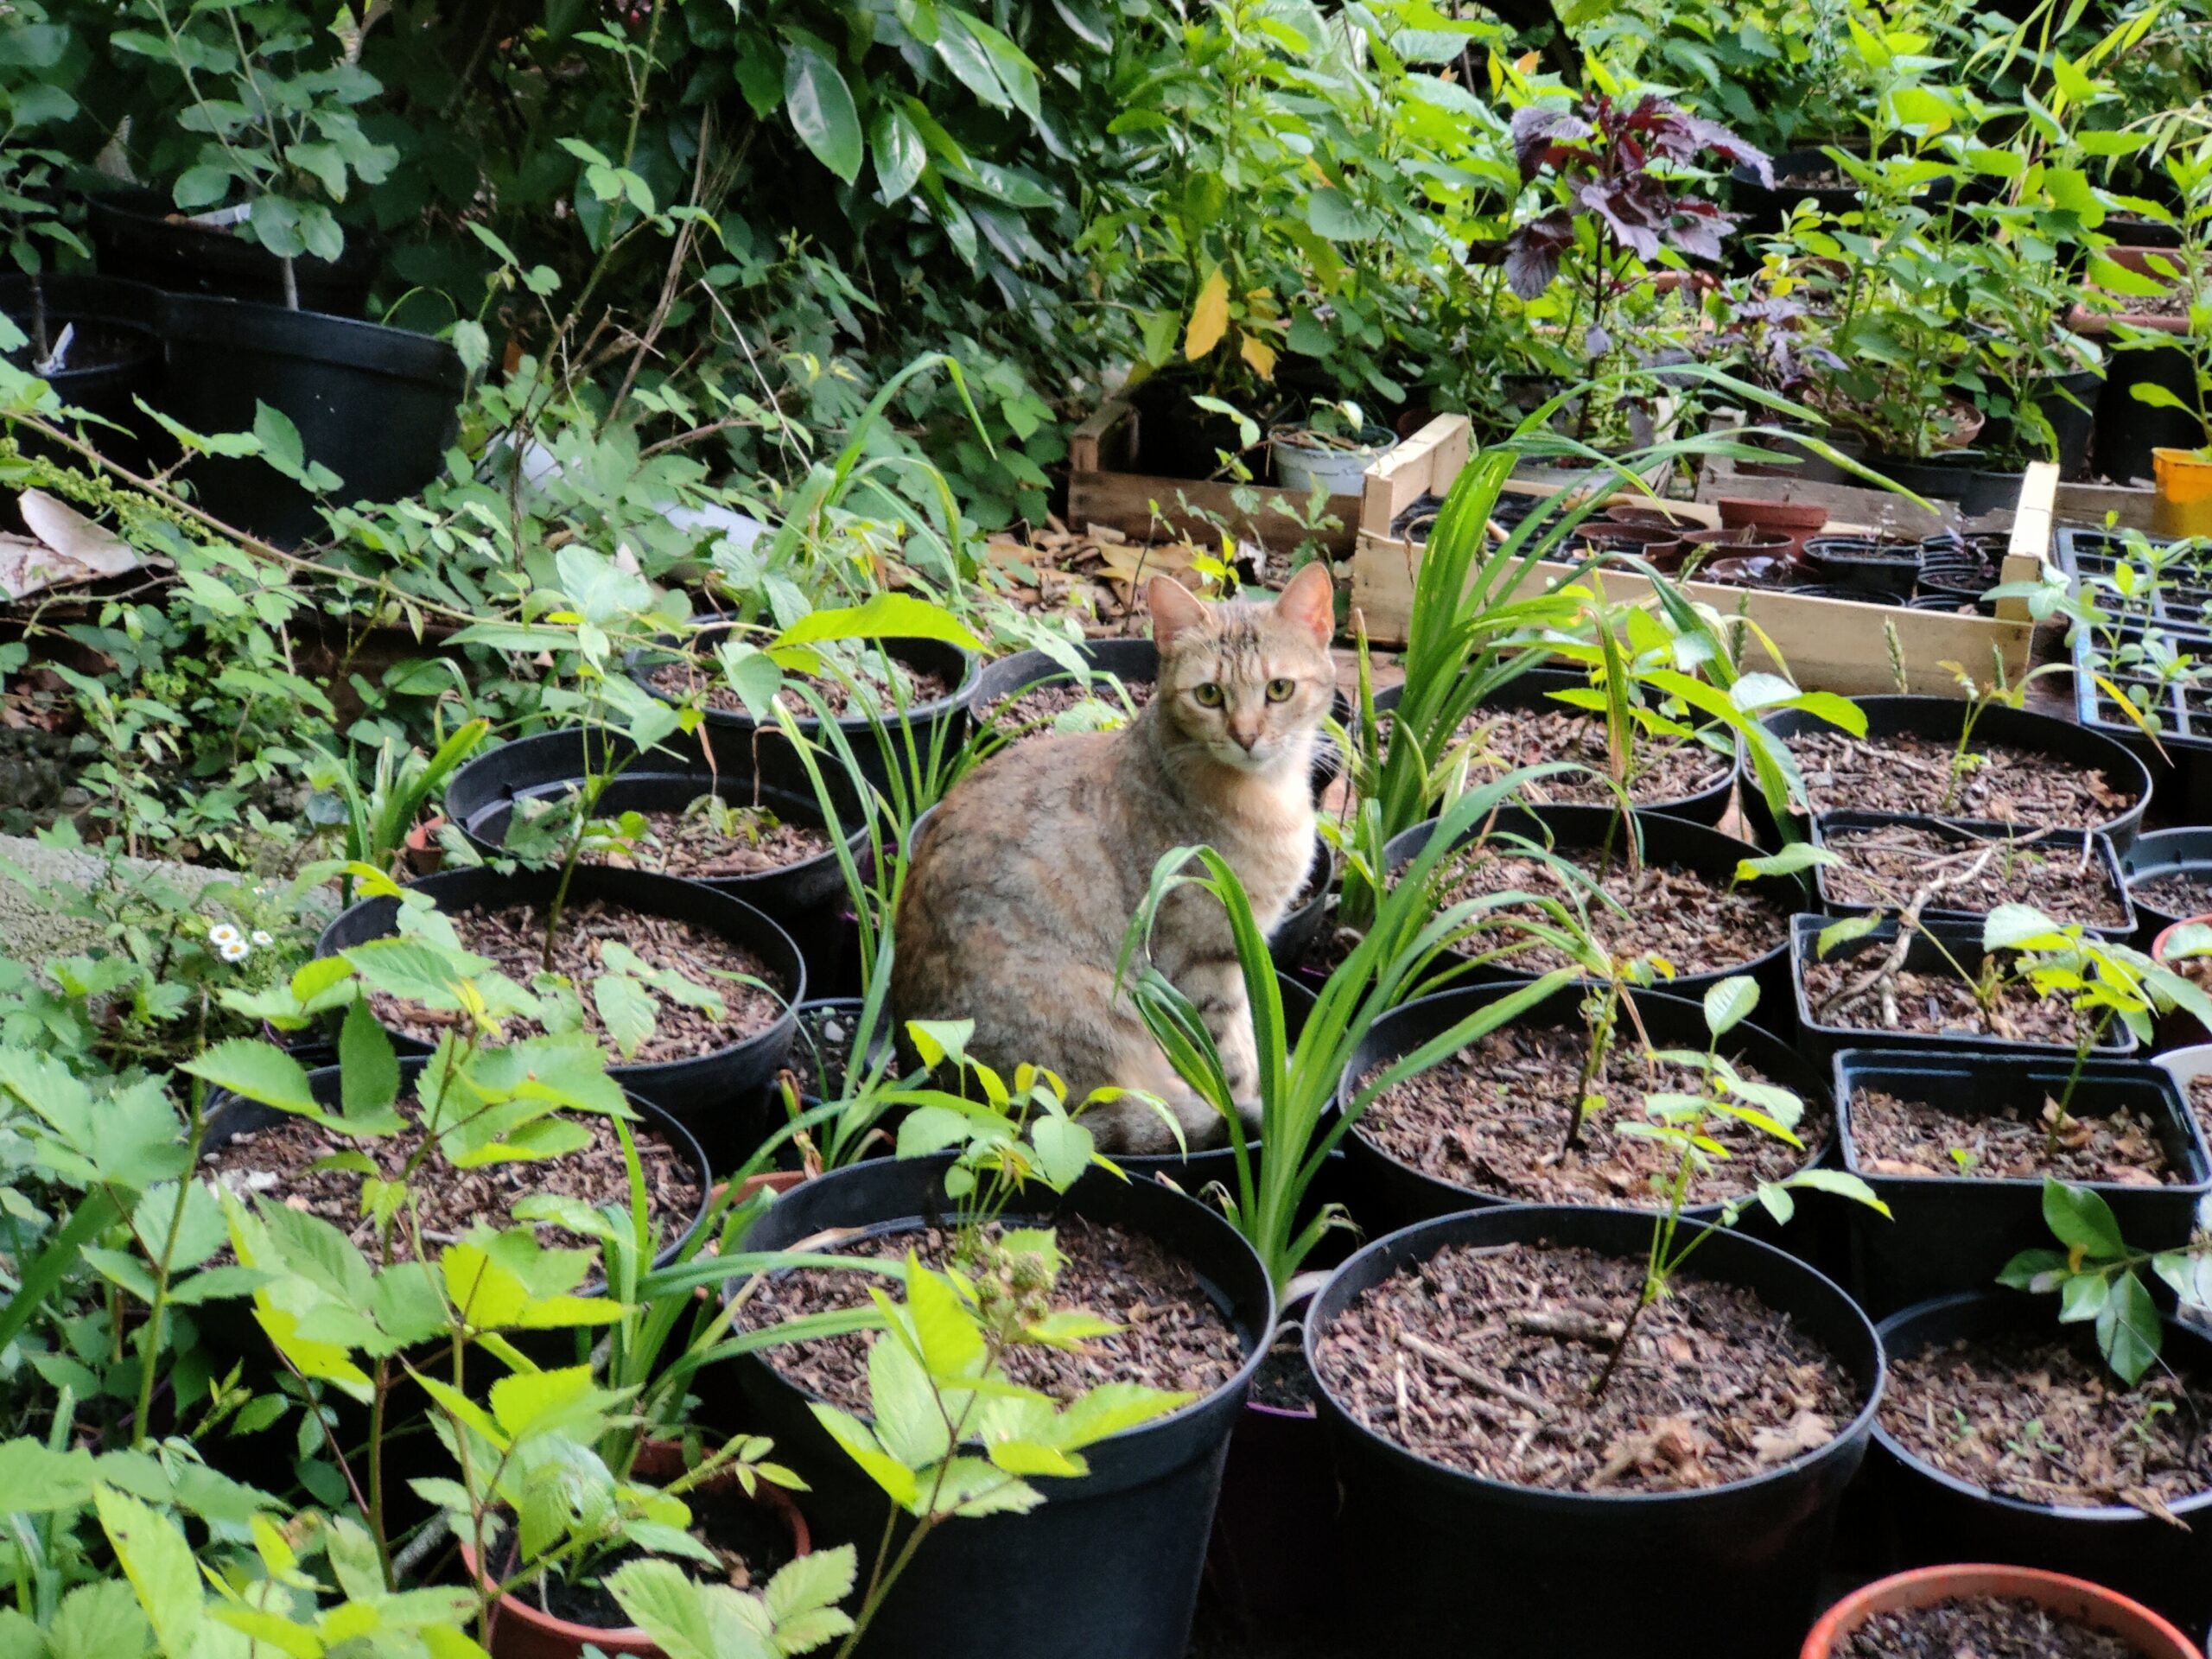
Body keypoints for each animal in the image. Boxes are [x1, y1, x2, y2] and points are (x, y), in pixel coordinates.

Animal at [893, 566, 1327, 1150]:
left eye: (1279, 689)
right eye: (1209, 694)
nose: (1246, 735)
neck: (1268, 797)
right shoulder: (1206, 954)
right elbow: (1230, 1053)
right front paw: (1257, 1104)